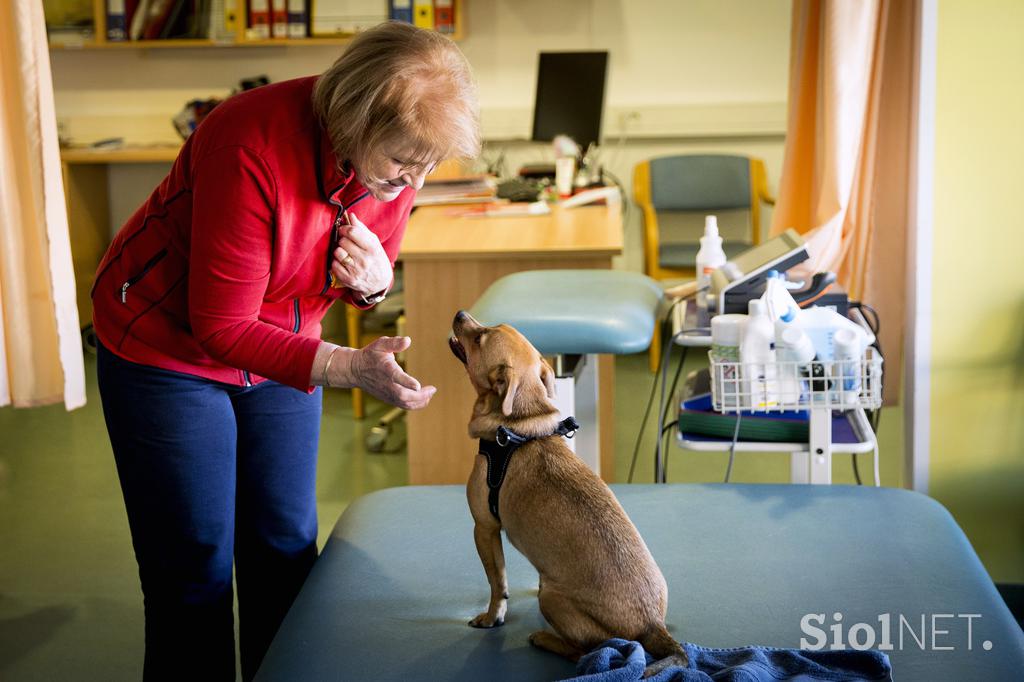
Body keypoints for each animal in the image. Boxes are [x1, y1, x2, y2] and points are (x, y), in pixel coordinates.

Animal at [448, 311, 688, 671]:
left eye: (480, 338)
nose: (461, 314)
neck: (521, 426)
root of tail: (652, 625)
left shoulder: (485, 528)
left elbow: (497, 583)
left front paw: (491, 617)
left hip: (552, 599)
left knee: (585, 651)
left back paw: (546, 638)